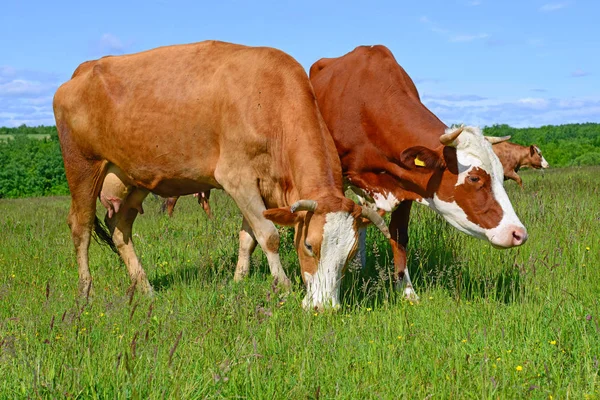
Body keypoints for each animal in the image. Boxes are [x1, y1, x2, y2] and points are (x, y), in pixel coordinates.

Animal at [52, 39, 390, 310]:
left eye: (350, 254)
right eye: (309, 245)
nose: (325, 307)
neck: (269, 97)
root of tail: (83, 70)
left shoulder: (261, 186)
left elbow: (248, 237)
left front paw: (238, 281)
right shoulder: (236, 177)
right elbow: (269, 236)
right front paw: (283, 286)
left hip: (133, 178)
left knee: (120, 229)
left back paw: (145, 288)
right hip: (82, 167)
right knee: (80, 228)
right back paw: (85, 292)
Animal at [312, 44, 528, 300]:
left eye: (501, 175)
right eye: (475, 177)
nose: (518, 233)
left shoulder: (404, 183)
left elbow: (398, 235)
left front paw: (406, 291)